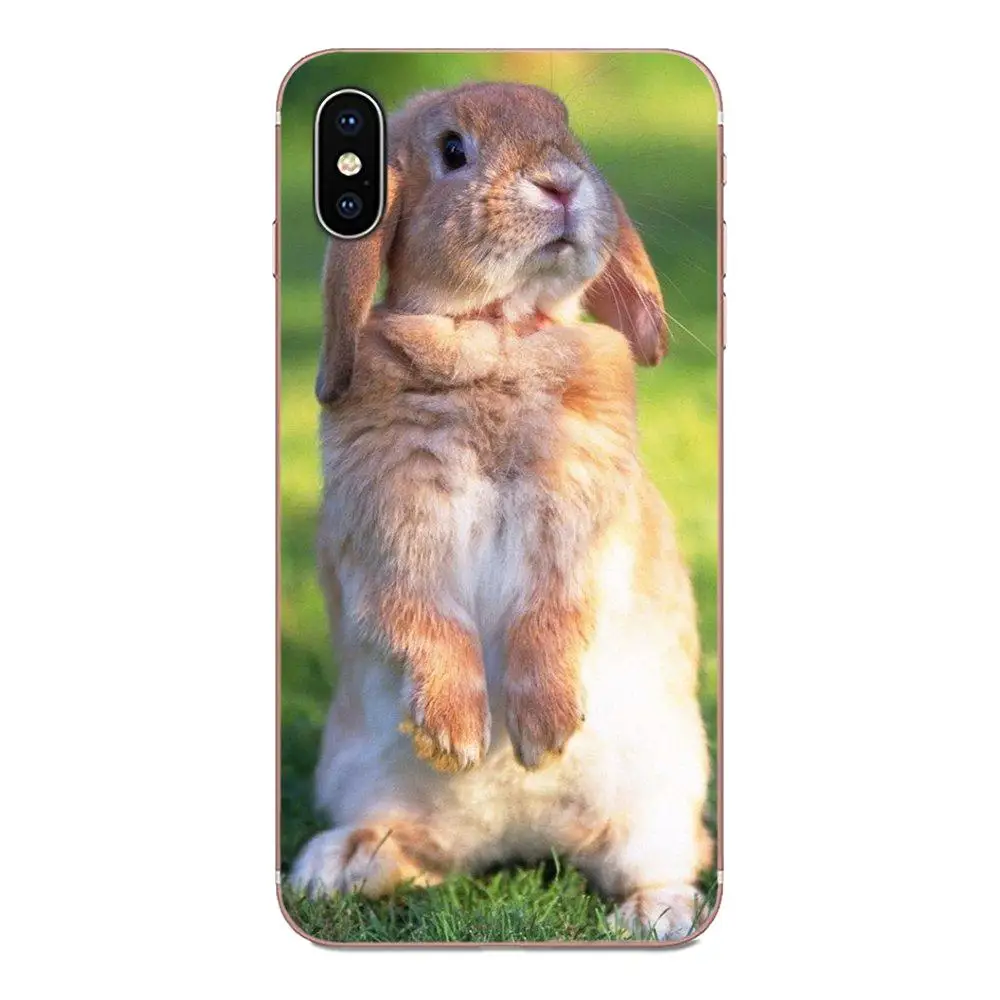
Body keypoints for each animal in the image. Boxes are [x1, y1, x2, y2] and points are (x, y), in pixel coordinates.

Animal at [288, 82, 713, 941]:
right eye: (453, 150)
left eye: (569, 131)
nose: (562, 183)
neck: (496, 333)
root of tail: (520, 840)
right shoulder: (391, 533)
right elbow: (423, 619)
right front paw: (457, 735)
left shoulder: (579, 528)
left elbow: (552, 615)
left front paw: (543, 734)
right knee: (417, 852)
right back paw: (336, 865)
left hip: (660, 797)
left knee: (663, 857)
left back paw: (653, 915)